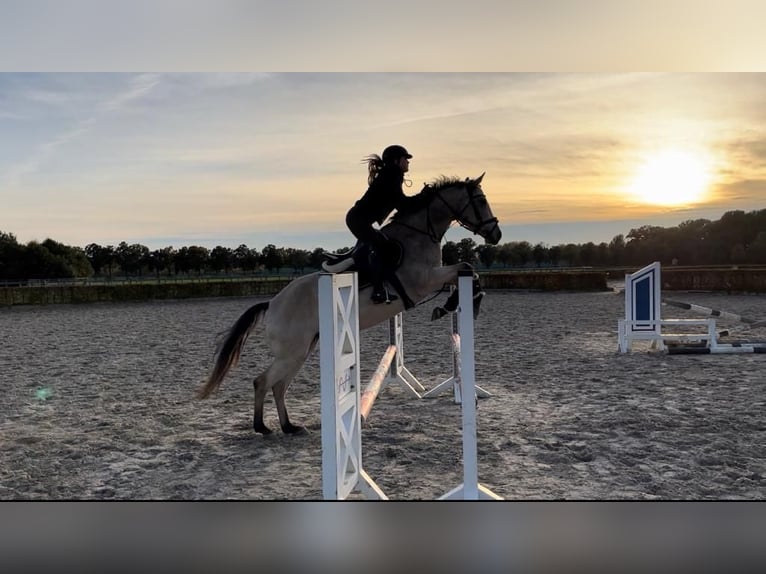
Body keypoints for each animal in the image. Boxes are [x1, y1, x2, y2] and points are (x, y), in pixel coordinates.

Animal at [196, 173, 504, 434]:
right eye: (481, 201)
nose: (496, 234)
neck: (419, 233)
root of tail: (271, 304)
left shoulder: (434, 278)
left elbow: (468, 271)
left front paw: (453, 304)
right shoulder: (423, 281)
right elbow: (467, 266)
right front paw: (452, 306)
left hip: (302, 350)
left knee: (279, 386)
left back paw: (289, 426)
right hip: (291, 352)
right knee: (263, 381)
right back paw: (262, 427)